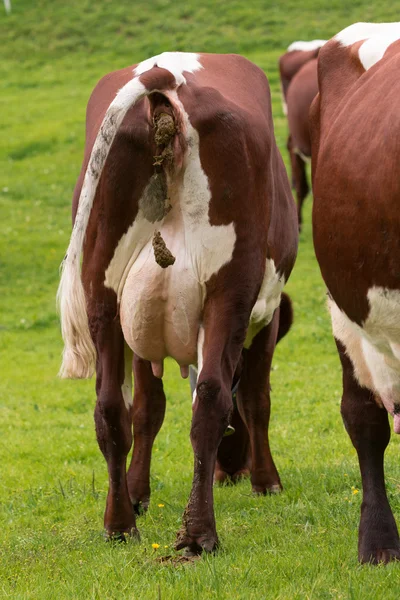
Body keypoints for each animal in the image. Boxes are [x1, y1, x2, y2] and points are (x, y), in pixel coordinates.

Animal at [57, 51, 298, 552]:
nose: (231, 471)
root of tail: (166, 73)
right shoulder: (265, 316)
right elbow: (255, 397)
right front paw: (267, 481)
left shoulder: (141, 329)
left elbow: (147, 409)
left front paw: (137, 494)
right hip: (230, 288)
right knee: (211, 398)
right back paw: (199, 535)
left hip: (102, 293)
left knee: (110, 408)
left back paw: (118, 524)